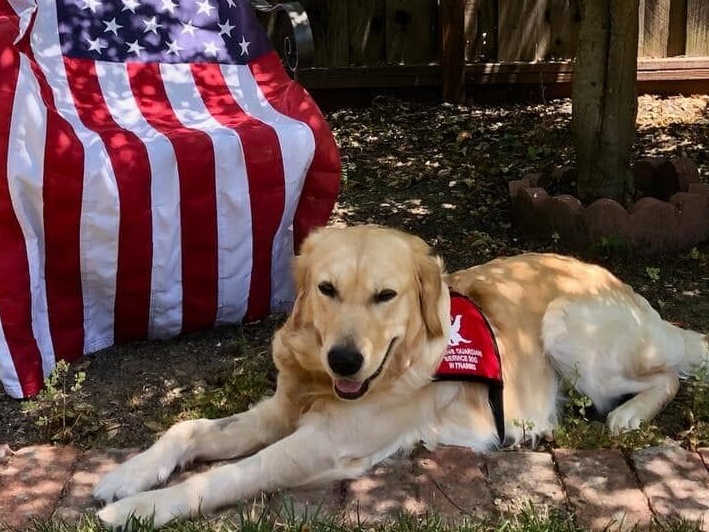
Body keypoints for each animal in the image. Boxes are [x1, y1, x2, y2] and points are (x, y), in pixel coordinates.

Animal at [95, 222, 708, 524]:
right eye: (326, 289)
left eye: (385, 296)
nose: (344, 360)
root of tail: (630, 291)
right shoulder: (282, 409)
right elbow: (189, 428)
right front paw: (127, 475)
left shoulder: (323, 445)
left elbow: (226, 474)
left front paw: (139, 509)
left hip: (566, 325)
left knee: (669, 375)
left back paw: (628, 416)